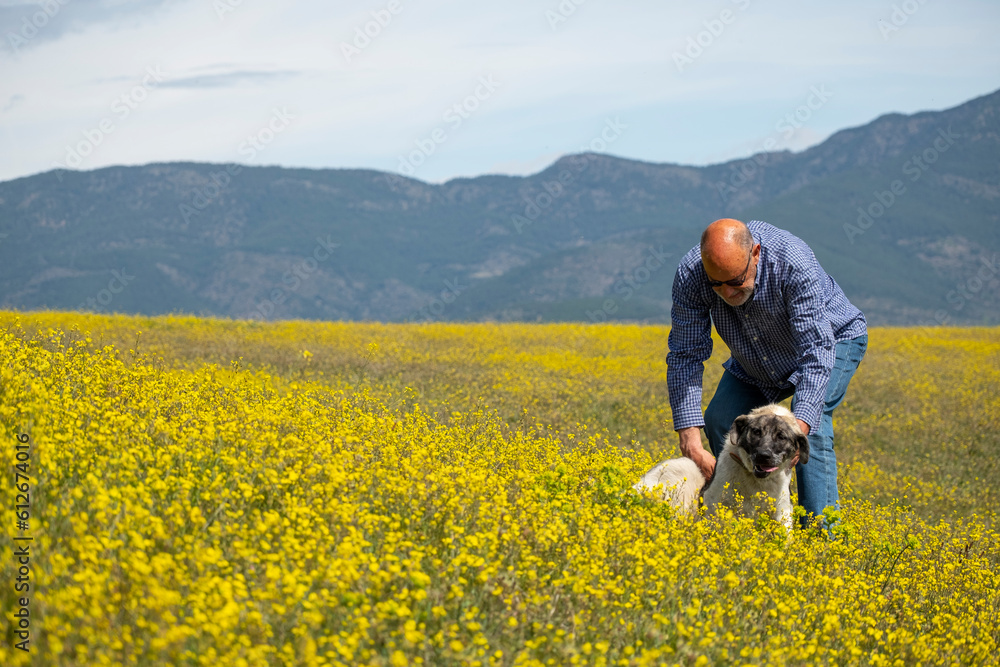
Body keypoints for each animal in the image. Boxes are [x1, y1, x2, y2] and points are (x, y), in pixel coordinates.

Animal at [634, 404, 809, 529]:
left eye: (781, 437)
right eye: (756, 432)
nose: (763, 455)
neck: (755, 481)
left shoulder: (783, 511)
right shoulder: (712, 501)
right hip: (683, 468)